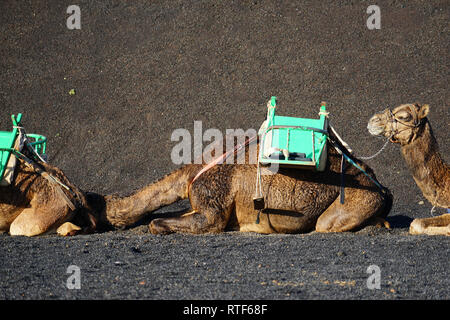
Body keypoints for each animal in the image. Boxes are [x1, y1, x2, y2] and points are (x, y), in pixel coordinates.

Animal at [96, 127, 394, 235]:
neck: (191, 174)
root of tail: (380, 186)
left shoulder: (211, 201)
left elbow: (159, 223)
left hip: (357, 198)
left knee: (326, 224)